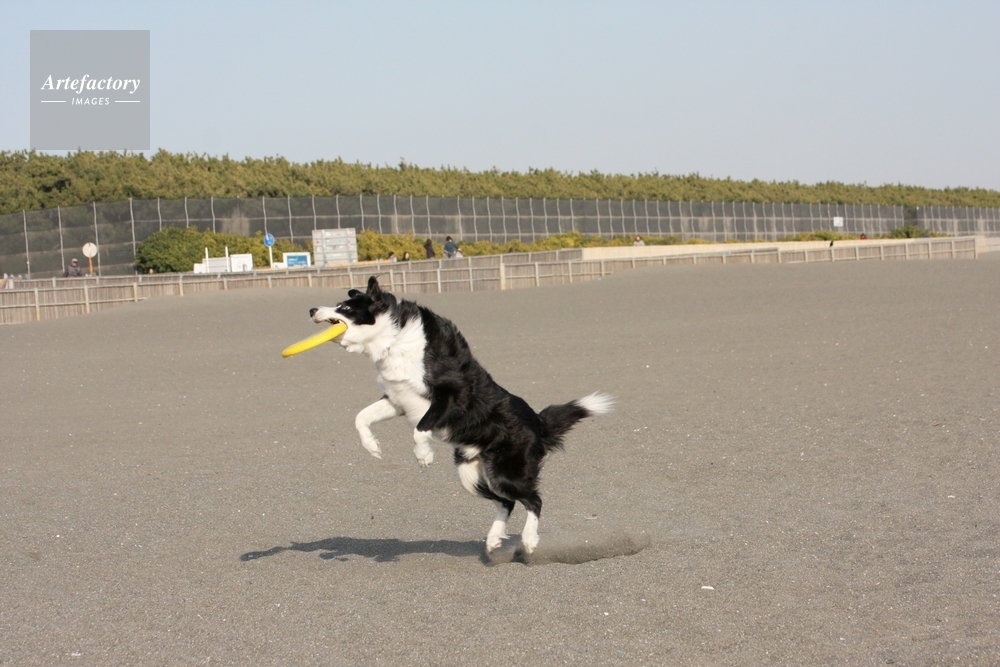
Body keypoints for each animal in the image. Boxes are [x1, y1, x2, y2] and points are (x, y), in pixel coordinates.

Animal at [309, 276, 612, 554]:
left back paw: (528, 540)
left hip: (506, 470)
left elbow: (420, 428)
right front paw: (372, 446)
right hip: (471, 473)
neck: (393, 338)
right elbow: (361, 417)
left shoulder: (453, 394)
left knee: (533, 500)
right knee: (507, 502)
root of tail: (537, 422)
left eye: (346, 307)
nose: (312, 309)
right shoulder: (397, 399)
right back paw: (493, 539)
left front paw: (424, 455)